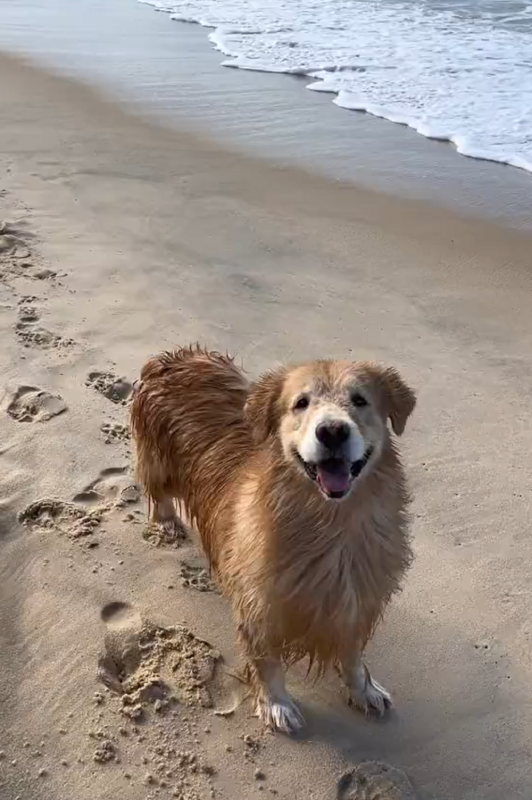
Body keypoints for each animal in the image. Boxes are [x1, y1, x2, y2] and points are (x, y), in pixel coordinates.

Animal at [129, 344, 416, 732]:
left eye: (360, 400)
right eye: (300, 403)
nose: (332, 431)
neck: (330, 521)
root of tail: (176, 356)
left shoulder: (356, 600)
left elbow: (353, 655)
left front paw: (363, 690)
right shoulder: (260, 603)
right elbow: (266, 661)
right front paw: (277, 704)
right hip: (160, 456)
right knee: (156, 485)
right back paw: (166, 522)